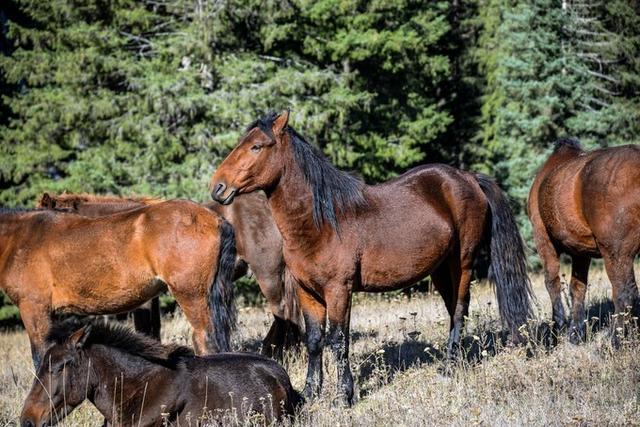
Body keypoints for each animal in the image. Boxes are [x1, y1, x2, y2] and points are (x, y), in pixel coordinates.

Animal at [0, 201, 236, 368]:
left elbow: (41, 356)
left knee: (205, 341)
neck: (20, 239)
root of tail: (213, 218)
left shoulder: (34, 309)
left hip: (191, 296)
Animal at [211, 111, 536, 404]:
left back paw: (449, 368)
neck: (321, 222)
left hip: (462, 263)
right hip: (442, 268)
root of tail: (469, 178)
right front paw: (311, 393)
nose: (218, 187)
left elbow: (338, 341)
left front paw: (343, 397)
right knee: (453, 308)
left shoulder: (339, 290)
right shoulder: (307, 292)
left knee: (459, 309)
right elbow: (314, 340)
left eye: (256, 146)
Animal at [528, 140, 640, 344]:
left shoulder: (543, 239)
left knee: (624, 293)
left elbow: (552, 283)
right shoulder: (580, 251)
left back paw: (616, 340)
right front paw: (576, 332)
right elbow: (577, 288)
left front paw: (557, 329)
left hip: (616, 253)